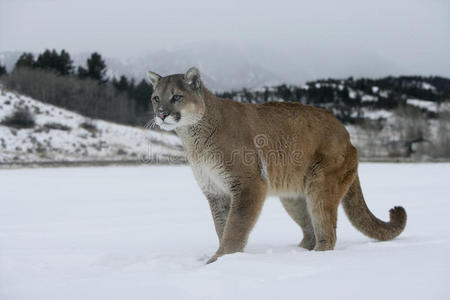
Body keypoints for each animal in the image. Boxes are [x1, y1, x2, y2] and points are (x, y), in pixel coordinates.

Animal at [148, 67, 408, 262]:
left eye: (176, 96)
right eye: (156, 98)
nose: (161, 113)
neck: (194, 136)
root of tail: (348, 137)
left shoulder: (249, 184)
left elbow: (235, 226)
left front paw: (220, 260)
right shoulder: (216, 191)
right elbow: (221, 226)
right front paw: (221, 259)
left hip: (320, 185)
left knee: (327, 232)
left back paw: (315, 258)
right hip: (293, 197)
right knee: (310, 231)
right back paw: (296, 253)